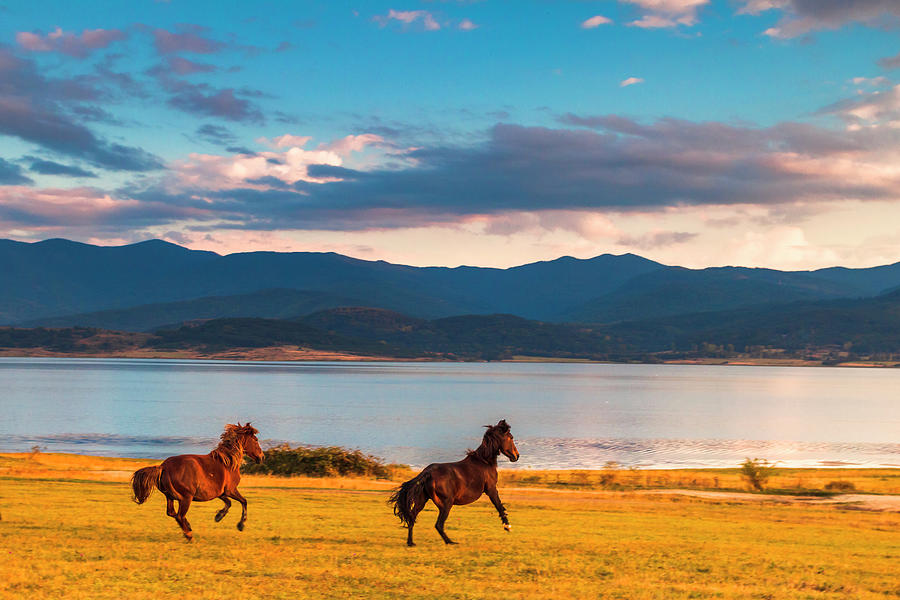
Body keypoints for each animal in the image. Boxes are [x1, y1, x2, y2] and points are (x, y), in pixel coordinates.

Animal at [131, 420, 264, 540]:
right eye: (256, 440)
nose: (261, 457)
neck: (228, 462)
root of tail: (163, 467)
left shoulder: (220, 493)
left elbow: (229, 503)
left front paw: (218, 516)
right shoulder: (230, 490)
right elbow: (244, 501)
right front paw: (240, 525)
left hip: (170, 496)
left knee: (172, 513)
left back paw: (188, 527)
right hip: (186, 498)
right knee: (179, 515)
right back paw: (189, 535)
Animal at [388, 420, 520, 548]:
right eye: (511, 437)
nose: (517, 456)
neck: (484, 461)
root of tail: (427, 472)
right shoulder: (491, 489)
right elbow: (499, 506)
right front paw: (507, 527)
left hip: (422, 501)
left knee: (412, 519)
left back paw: (411, 543)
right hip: (446, 503)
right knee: (438, 524)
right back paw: (450, 542)